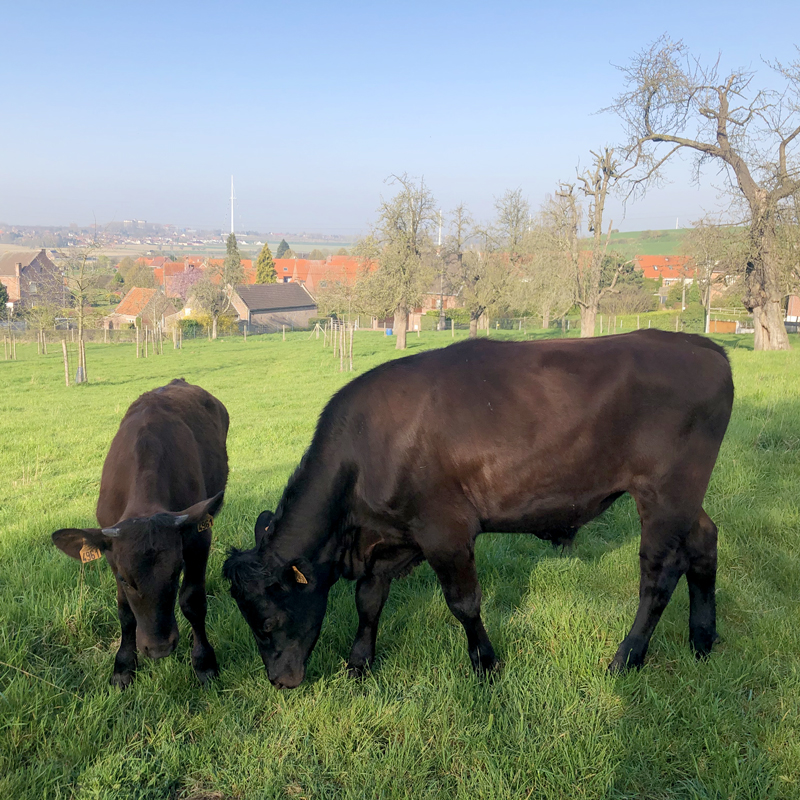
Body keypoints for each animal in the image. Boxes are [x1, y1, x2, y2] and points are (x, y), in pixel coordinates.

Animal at [52, 378, 228, 684]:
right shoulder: (112, 554)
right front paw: (123, 664)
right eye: (125, 579)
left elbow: (193, 600)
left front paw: (204, 662)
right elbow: (125, 611)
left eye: (176, 572)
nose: (159, 649)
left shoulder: (198, 536)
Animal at [223, 332, 732, 688]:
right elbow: (368, 601)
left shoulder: (444, 532)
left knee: (659, 574)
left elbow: (464, 603)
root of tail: (705, 348)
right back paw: (702, 638)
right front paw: (358, 664)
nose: (280, 681)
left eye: (266, 622)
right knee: (704, 542)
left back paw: (627, 657)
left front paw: (485, 664)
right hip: (686, 499)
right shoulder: (389, 539)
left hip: (664, 495)